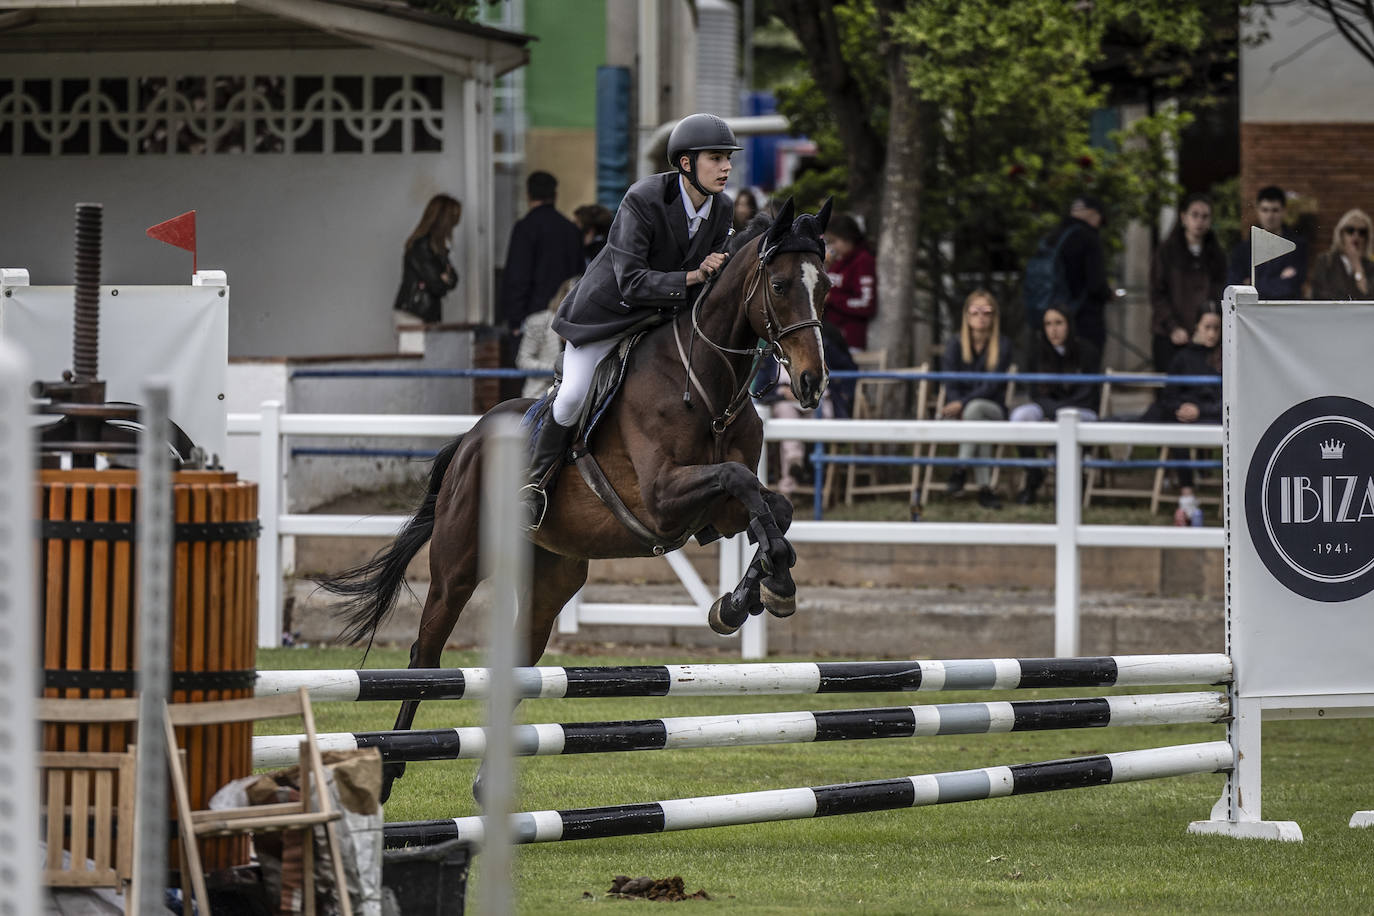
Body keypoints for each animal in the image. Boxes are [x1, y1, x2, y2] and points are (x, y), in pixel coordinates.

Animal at [321, 197, 829, 796]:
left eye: (825, 287)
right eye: (779, 285)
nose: (812, 383)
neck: (710, 388)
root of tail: (470, 438)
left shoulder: (716, 513)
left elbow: (772, 507)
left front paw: (755, 593)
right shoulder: (662, 499)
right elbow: (739, 480)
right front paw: (763, 589)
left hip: (553, 574)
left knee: (520, 659)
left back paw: (487, 782)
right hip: (458, 567)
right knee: (426, 656)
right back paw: (391, 766)